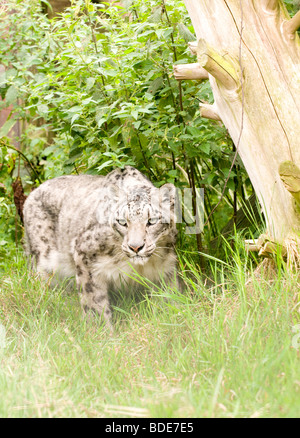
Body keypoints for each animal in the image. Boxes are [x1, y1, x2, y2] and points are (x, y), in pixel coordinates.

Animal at [23, 166, 179, 330]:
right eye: (122, 222)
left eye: (152, 220)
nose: (135, 247)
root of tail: (34, 191)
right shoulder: (85, 257)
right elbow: (94, 303)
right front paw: (102, 331)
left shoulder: (165, 269)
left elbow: (168, 298)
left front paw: (170, 320)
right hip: (46, 265)